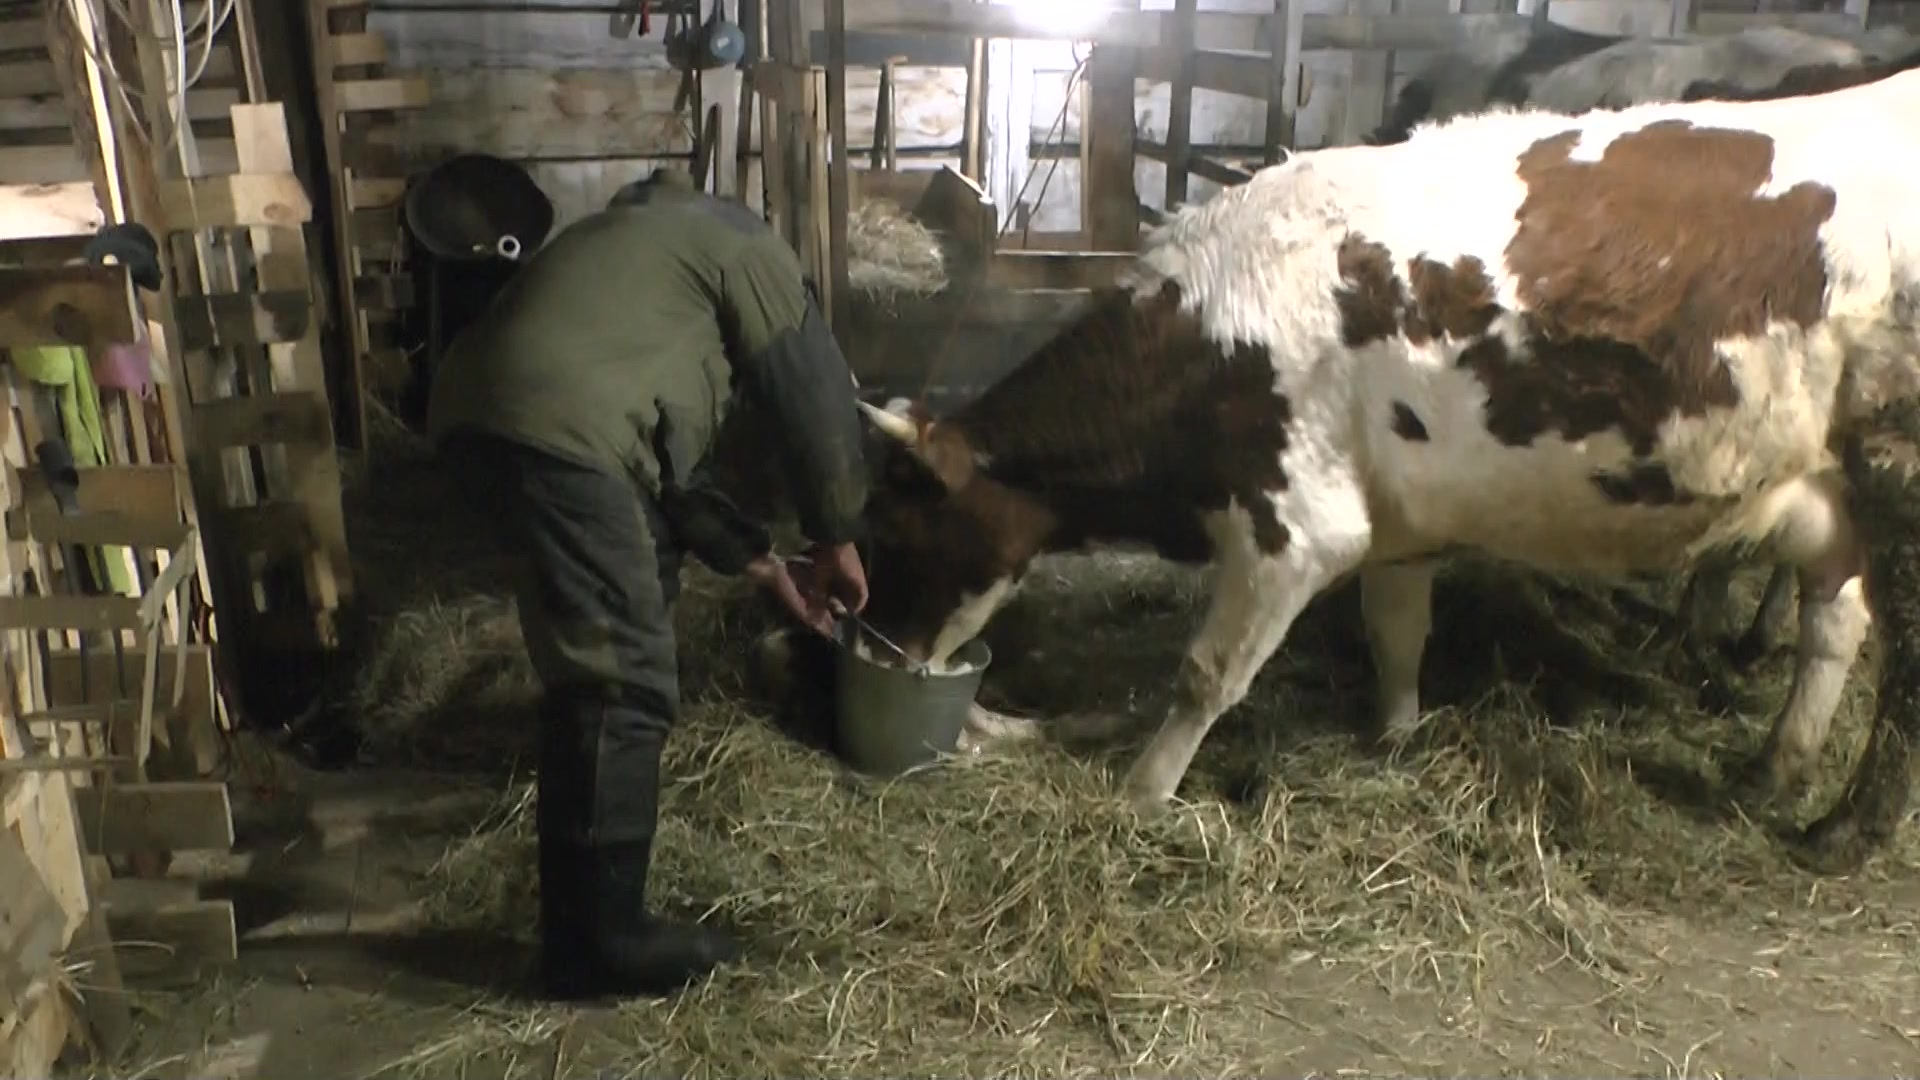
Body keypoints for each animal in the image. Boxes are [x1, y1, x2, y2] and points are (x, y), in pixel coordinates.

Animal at [856, 65, 1920, 857]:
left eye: (897, 534)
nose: (880, 653)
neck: (1210, 329)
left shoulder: (1294, 525)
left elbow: (1206, 674)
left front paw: (1141, 792)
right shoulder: (1399, 519)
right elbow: (1396, 631)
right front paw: (1397, 740)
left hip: (1897, 471)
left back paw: (1843, 833)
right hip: (1828, 484)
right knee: (1835, 621)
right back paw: (1772, 768)